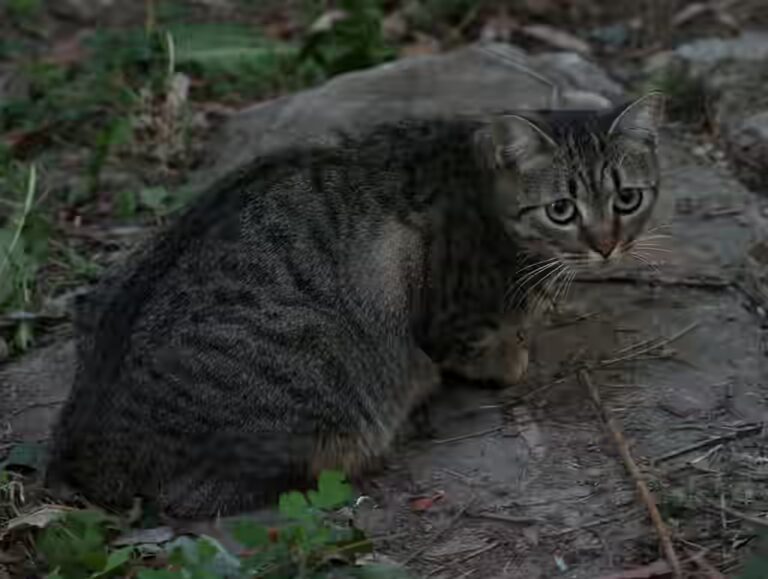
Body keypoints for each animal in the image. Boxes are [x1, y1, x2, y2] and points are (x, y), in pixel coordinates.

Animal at [45, 92, 664, 520]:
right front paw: (511, 353)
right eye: (562, 210)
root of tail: (82, 455)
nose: (605, 244)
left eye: (627, 199)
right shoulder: (449, 317)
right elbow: (482, 349)